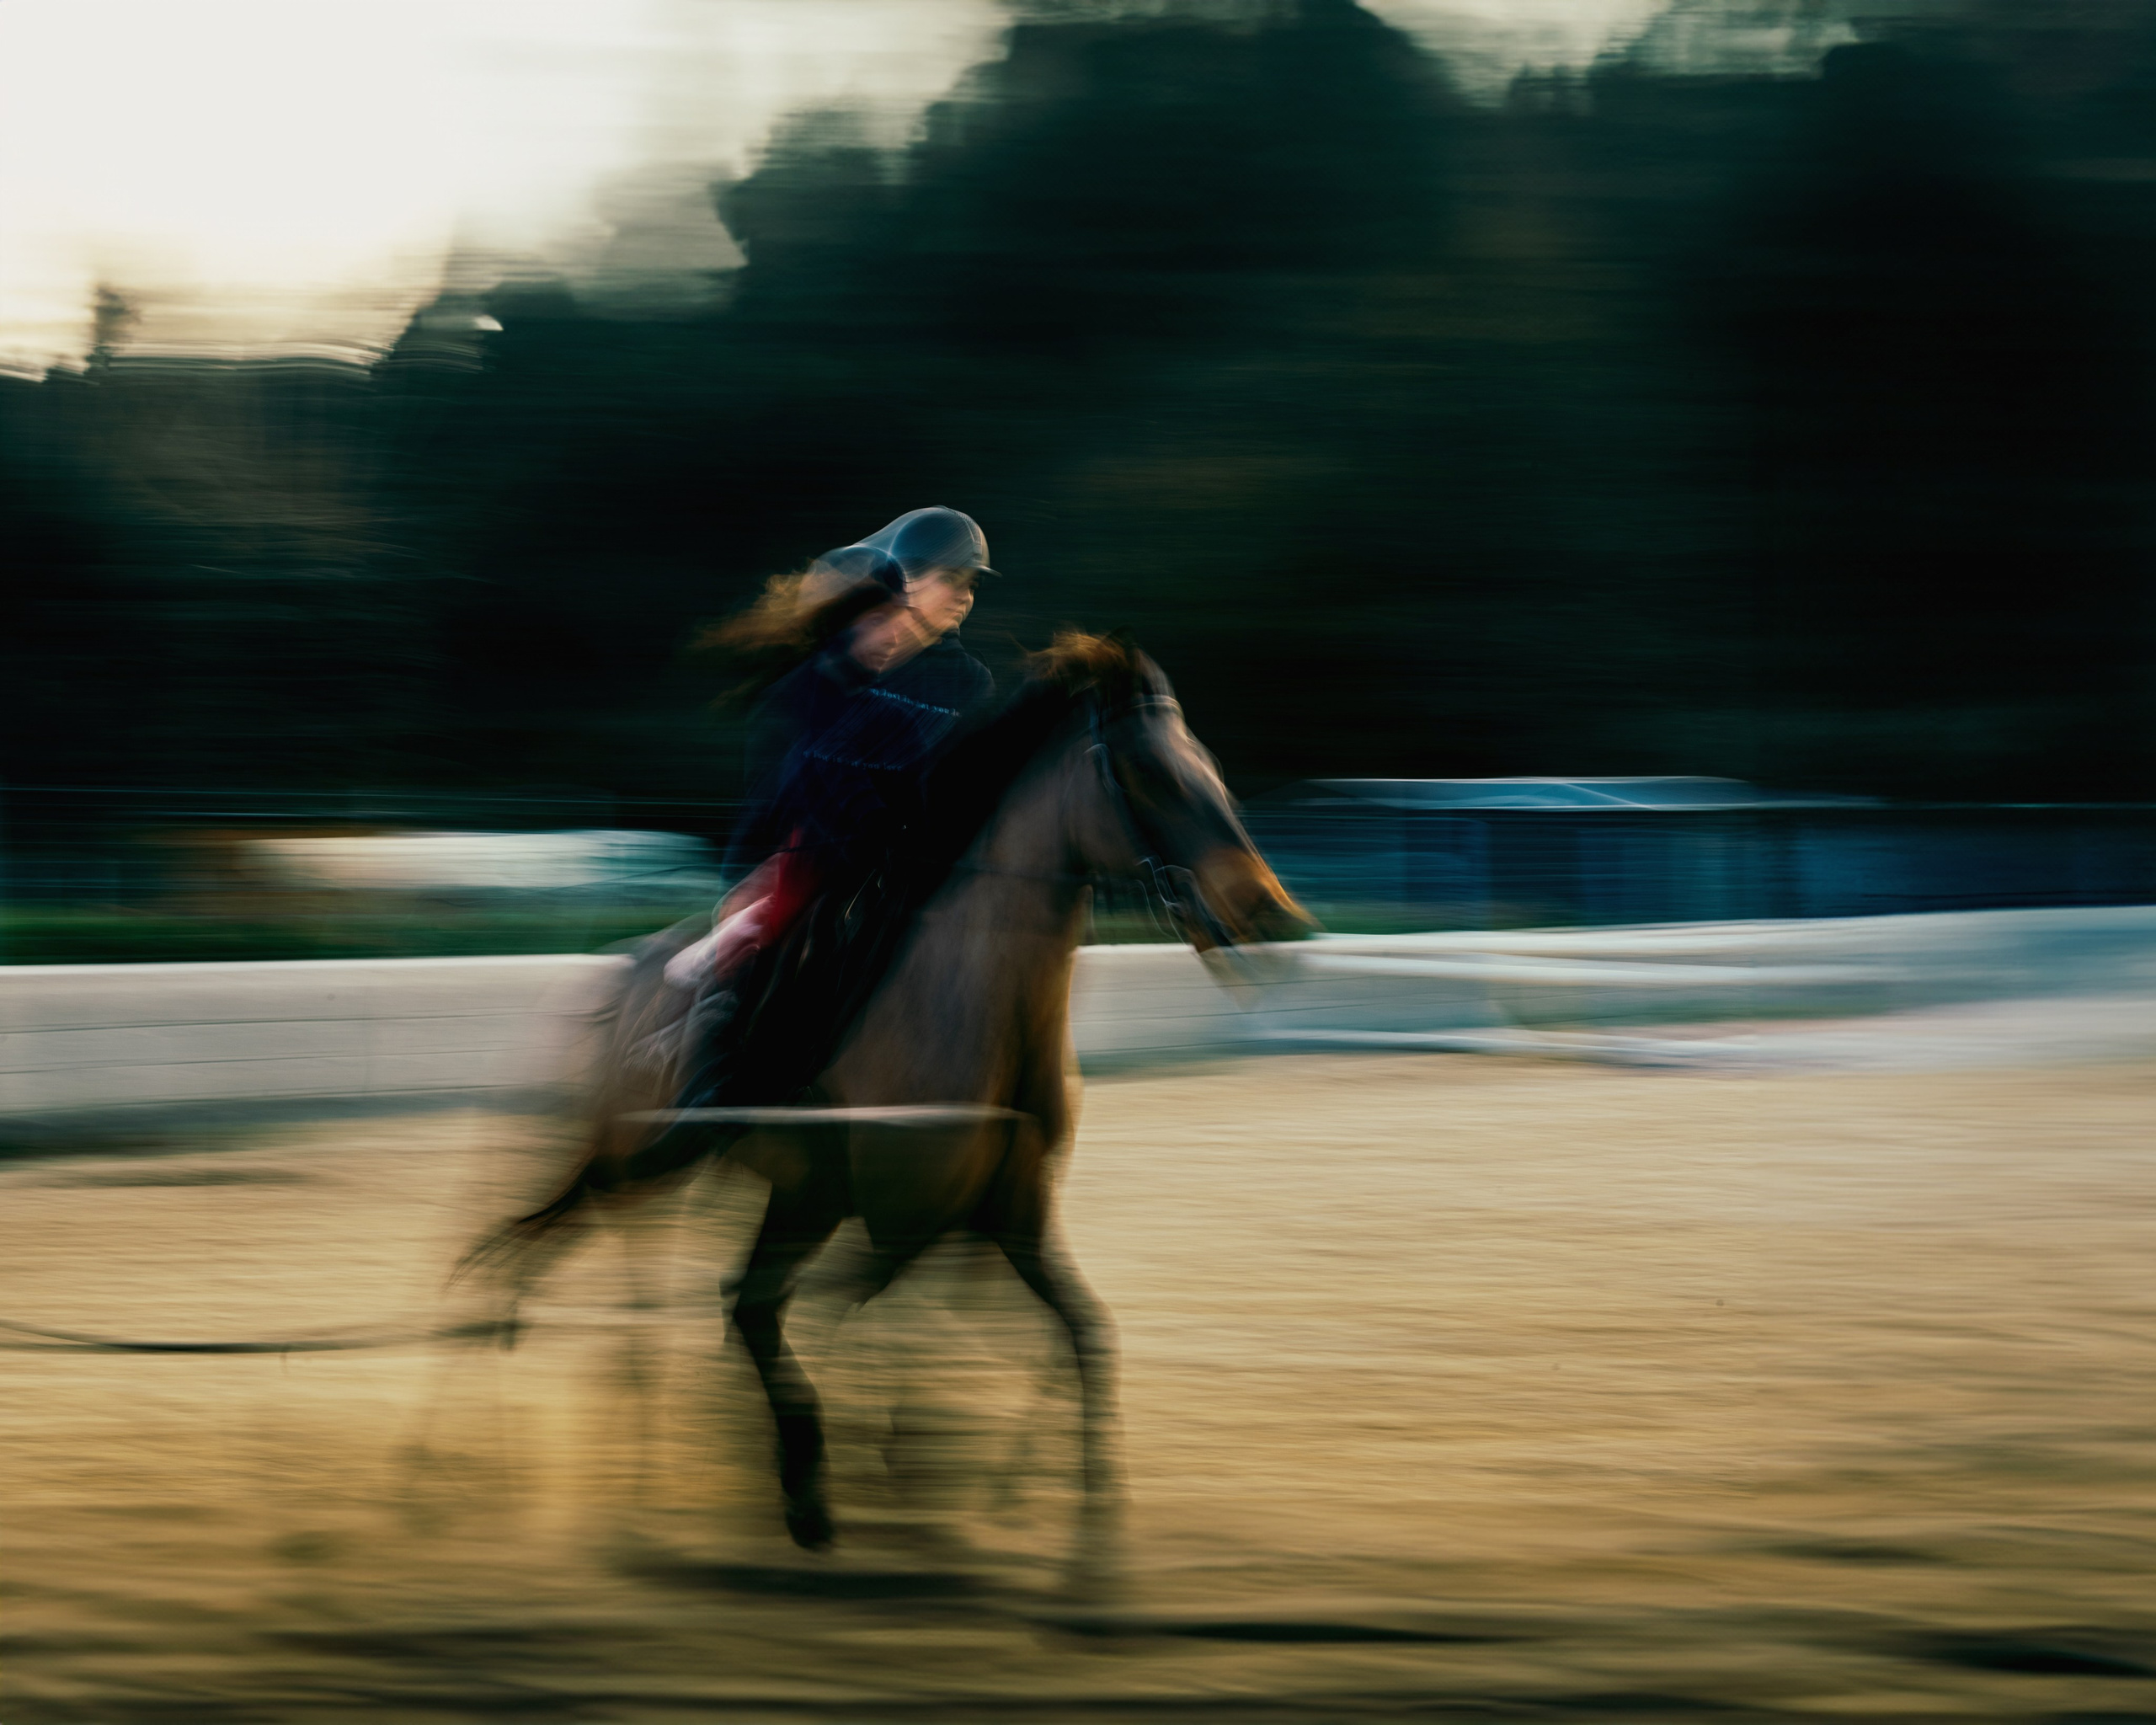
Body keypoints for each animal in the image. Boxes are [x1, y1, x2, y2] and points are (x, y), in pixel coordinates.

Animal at [474, 632, 1310, 1583]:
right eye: (1154, 774)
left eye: (1208, 767)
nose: (1269, 913)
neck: (971, 1003)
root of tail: (625, 971)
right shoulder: (873, 1205)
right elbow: (816, 1319)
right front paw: (832, 1481)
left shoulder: (1000, 1210)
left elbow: (1083, 1336)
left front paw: (1081, 1541)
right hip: (648, 1166)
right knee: (555, 1261)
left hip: (717, 1181)